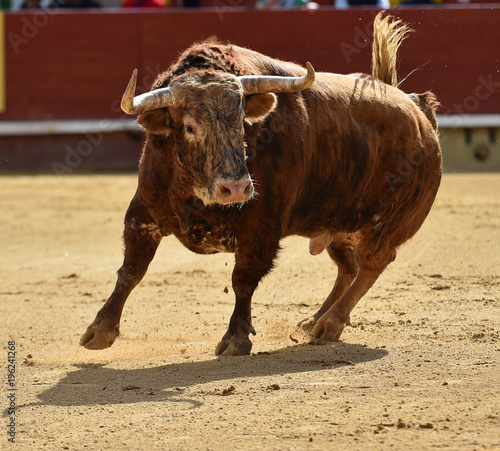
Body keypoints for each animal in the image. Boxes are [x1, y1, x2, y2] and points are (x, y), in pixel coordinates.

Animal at [80, 12, 444, 354]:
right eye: (189, 126)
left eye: (242, 121)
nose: (237, 189)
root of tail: (418, 110)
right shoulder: (143, 213)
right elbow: (131, 269)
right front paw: (100, 329)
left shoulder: (262, 228)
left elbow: (243, 279)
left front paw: (236, 339)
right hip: (337, 223)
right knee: (349, 267)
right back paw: (314, 319)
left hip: (387, 223)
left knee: (372, 264)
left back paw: (330, 323)